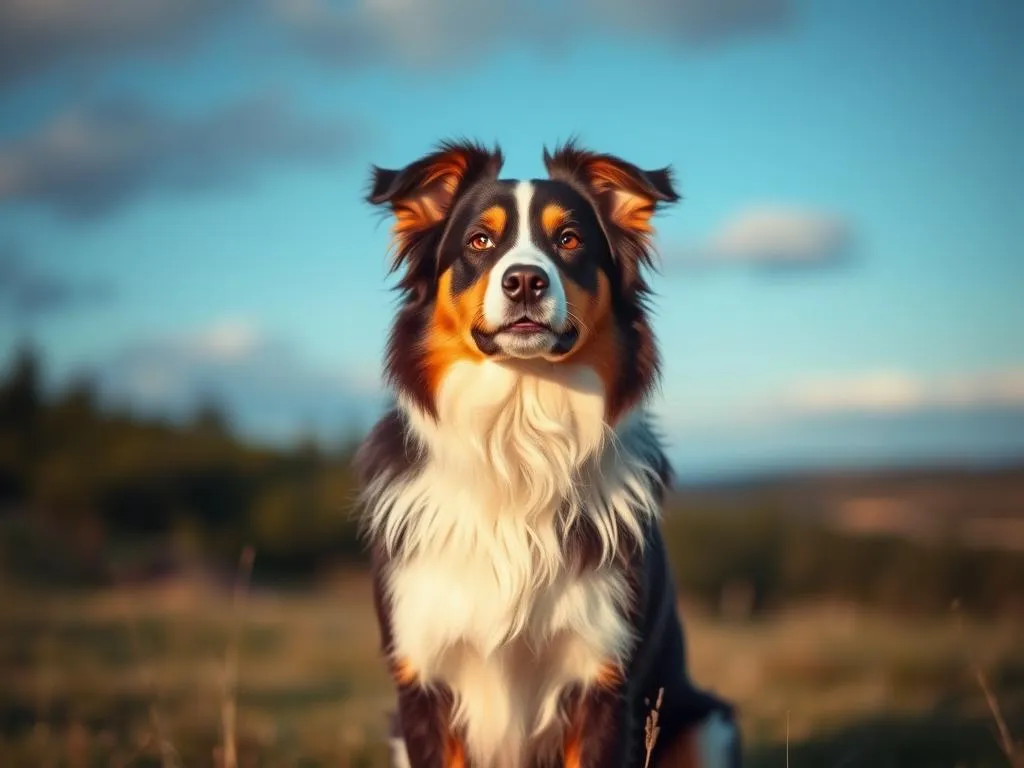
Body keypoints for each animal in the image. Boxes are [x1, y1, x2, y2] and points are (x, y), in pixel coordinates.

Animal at [356, 140, 741, 768]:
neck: (518, 438)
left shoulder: (602, 681)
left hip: (708, 725)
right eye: (479, 242)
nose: (525, 282)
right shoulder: (423, 683)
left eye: (569, 239)